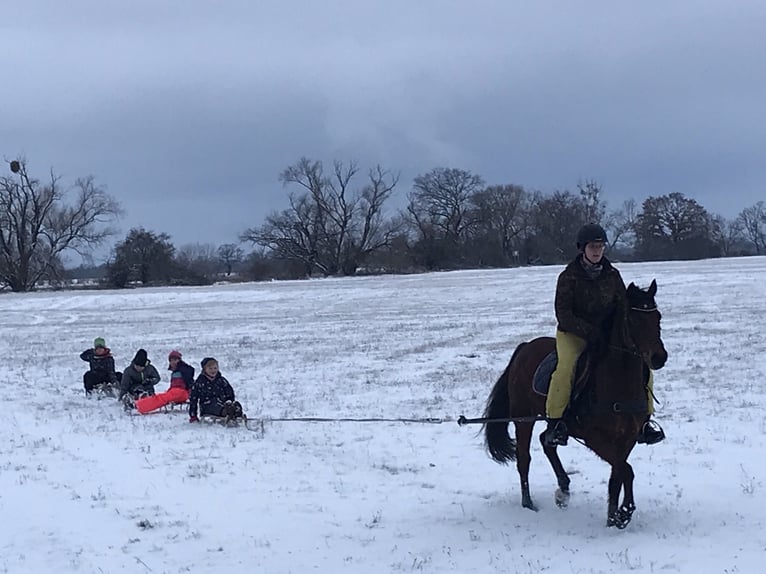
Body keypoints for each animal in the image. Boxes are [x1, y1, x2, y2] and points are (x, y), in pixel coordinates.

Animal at [486, 282, 672, 528]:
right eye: (632, 319)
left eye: (657, 317)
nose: (659, 357)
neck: (617, 382)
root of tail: (524, 348)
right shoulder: (594, 437)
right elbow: (626, 470)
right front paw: (624, 512)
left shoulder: (628, 437)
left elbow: (618, 474)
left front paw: (613, 517)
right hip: (523, 418)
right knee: (524, 458)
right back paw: (529, 503)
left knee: (547, 441)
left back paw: (563, 490)